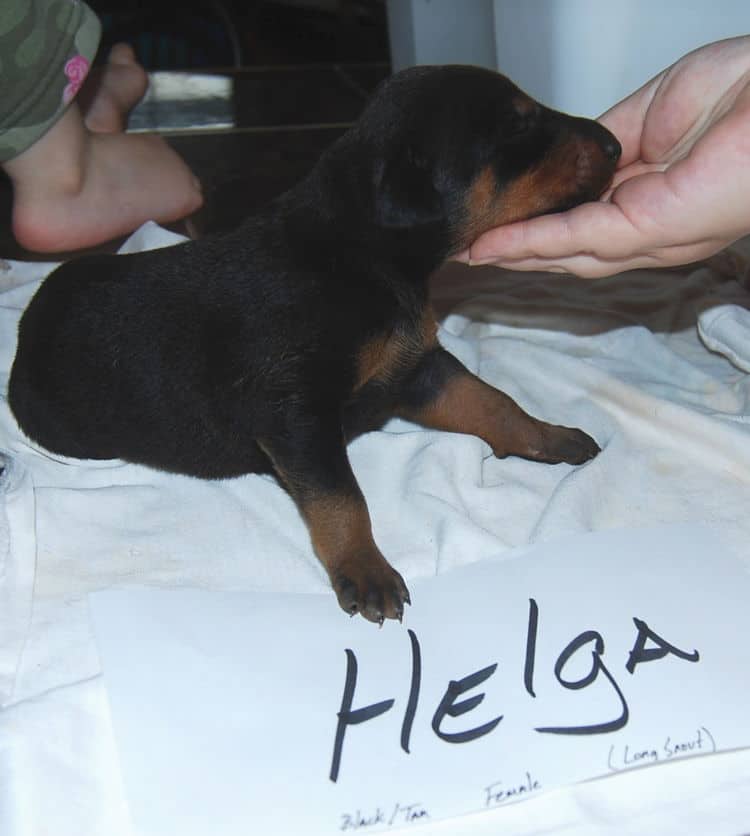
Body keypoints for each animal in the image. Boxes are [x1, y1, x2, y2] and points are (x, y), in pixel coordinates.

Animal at [8, 67, 624, 620]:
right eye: (518, 126)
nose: (615, 144)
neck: (365, 252)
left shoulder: (415, 367)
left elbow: (491, 400)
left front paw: (549, 434)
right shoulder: (297, 411)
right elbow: (340, 497)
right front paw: (366, 570)